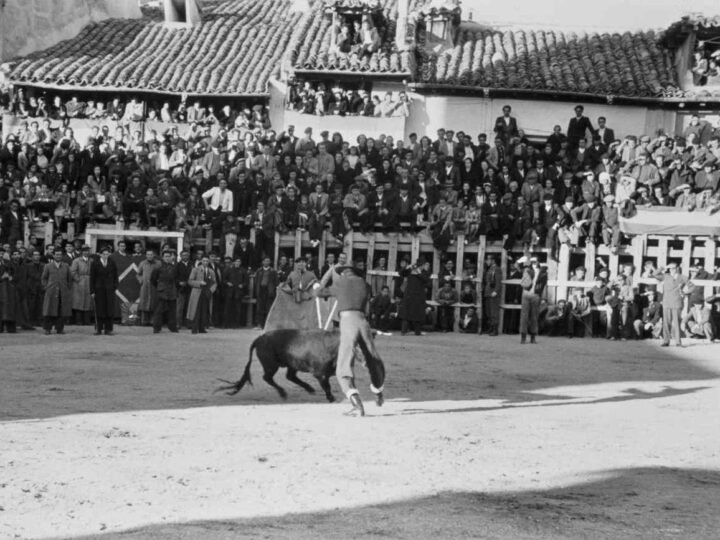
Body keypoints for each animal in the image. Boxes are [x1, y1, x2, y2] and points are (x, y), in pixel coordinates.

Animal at [214, 326, 386, 402]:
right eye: (356, 346)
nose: (367, 362)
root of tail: (260, 338)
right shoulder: (320, 374)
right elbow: (327, 386)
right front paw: (330, 398)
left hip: (291, 364)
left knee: (290, 376)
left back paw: (309, 389)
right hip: (271, 364)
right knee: (267, 377)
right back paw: (283, 393)